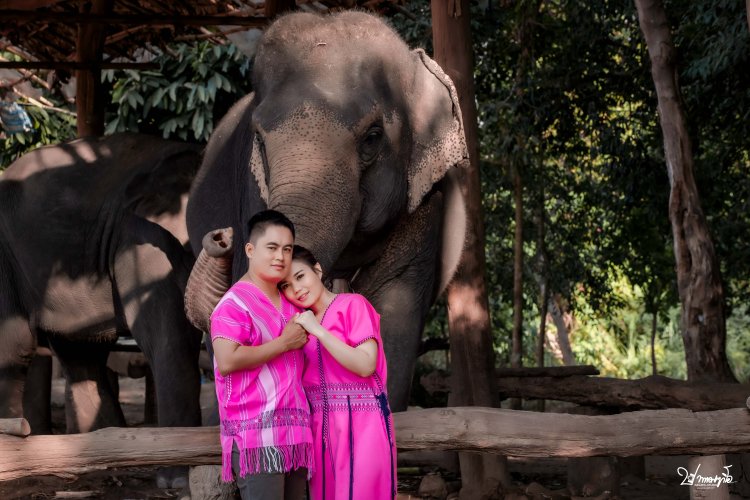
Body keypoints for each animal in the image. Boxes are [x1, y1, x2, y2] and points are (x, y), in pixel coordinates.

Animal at [184, 10, 468, 410]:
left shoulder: (425, 200)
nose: (222, 236)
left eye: (372, 137)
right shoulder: (252, 194)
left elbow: (394, 308)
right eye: (259, 140)